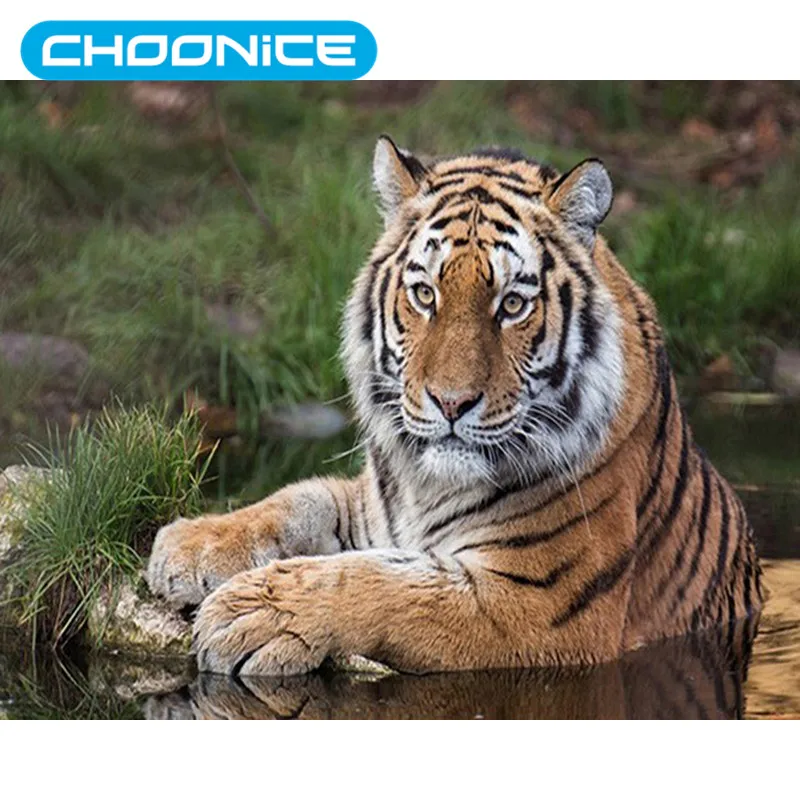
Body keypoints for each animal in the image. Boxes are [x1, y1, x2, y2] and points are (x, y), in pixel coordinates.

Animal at [146, 136, 763, 677]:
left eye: (512, 305)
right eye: (425, 295)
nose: (451, 403)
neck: (428, 487)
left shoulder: (536, 606)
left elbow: (381, 584)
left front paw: (251, 613)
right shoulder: (375, 508)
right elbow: (300, 498)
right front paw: (191, 545)